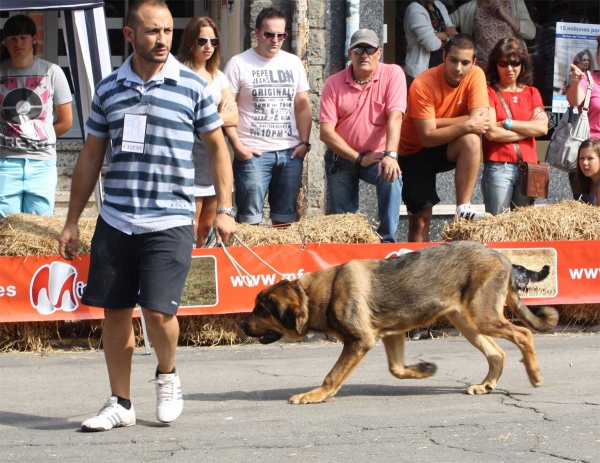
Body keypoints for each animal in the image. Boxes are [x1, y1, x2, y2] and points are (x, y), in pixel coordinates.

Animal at [239, 241, 556, 404]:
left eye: (261, 310)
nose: (241, 326)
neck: (311, 295)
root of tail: (503, 257)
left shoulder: (359, 341)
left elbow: (332, 375)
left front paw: (315, 395)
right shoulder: (391, 333)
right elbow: (396, 369)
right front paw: (423, 370)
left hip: (482, 316)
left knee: (523, 334)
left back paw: (535, 375)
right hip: (468, 322)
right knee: (497, 353)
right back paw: (486, 385)